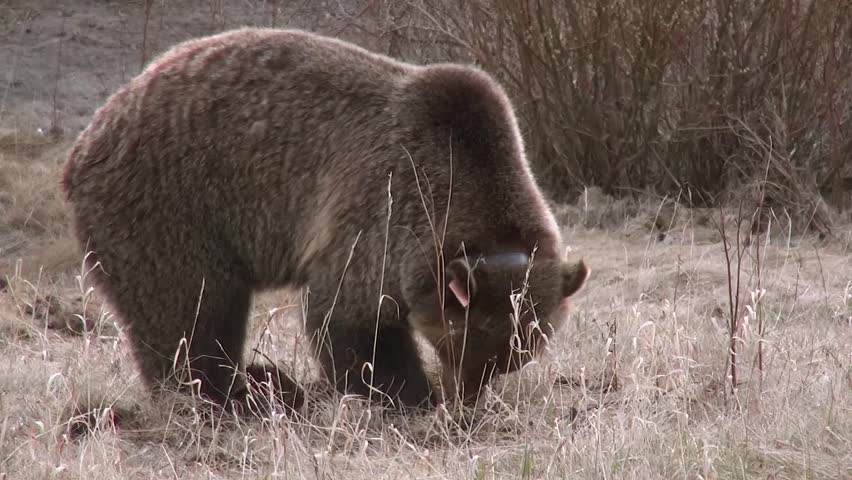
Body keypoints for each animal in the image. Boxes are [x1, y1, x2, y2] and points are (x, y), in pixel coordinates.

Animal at [60, 27, 589, 411]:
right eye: (468, 343)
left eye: (517, 355)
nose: (466, 400)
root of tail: (90, 135)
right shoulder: (380, 213)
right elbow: (350, 320)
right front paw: (405, 394)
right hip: (171, 205)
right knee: (190, 309)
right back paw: (230, 394)